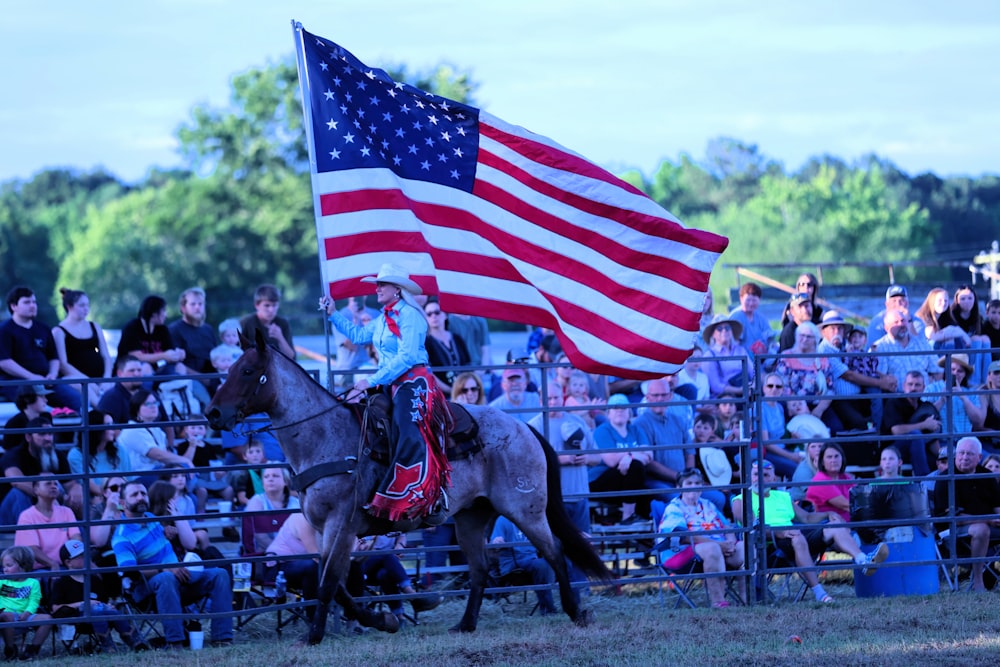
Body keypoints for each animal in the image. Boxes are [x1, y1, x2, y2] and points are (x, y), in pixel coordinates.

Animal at [205, 332, 608, 644]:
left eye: (247, 371)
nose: (212, 414)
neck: (324, 437)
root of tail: (524, 428)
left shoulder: (341, 526)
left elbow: (328, 583)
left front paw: (314, 636)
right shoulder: (323, 530)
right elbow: (335, 585)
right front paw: (382, 620)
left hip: (526, 509)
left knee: (554, 552)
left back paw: (576, 612)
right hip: (471, 517)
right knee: (480, 570)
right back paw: (465, 624)